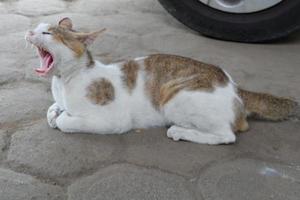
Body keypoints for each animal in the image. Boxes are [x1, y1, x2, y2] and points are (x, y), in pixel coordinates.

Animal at [25, 18, 298, 145]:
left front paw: (62, 117)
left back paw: (180, 131)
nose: (28, 31)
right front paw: (55, 111)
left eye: (47, 32)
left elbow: (64, 121)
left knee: (227, 135)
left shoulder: (114, 120)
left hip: (175, 97)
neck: (63, 82)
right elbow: (51, 110)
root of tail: (235, 87)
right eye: (37, 27)